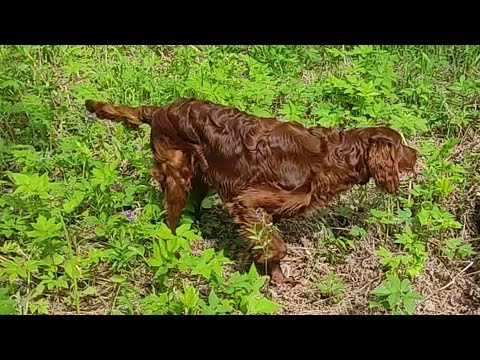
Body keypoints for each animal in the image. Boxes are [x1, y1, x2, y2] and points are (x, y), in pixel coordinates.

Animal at [86, 97, 420, 284]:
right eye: (401, 145)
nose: (417, 155)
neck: (330, 157)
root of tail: (158, 110)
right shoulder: (246, 201)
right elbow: (277, 246)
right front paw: (263, 265)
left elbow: (268, 244)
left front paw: (275, 278)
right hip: (179, 174)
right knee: (170, 218)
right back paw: (175, 246)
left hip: (200, 177)